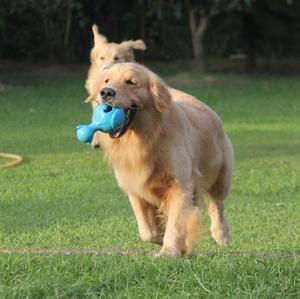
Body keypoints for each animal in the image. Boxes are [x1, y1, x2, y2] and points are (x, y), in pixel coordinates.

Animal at [85, 62, 233, 258]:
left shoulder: (179, 184)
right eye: (106, 81)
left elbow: (176, 222)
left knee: (217, 204)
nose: (106, 93)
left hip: (222, 175)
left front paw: (169, 250)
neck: (143, 139)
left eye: (131, 82)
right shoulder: (134, 186)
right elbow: (147, 231)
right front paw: (163, 238)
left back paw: (221, 234)